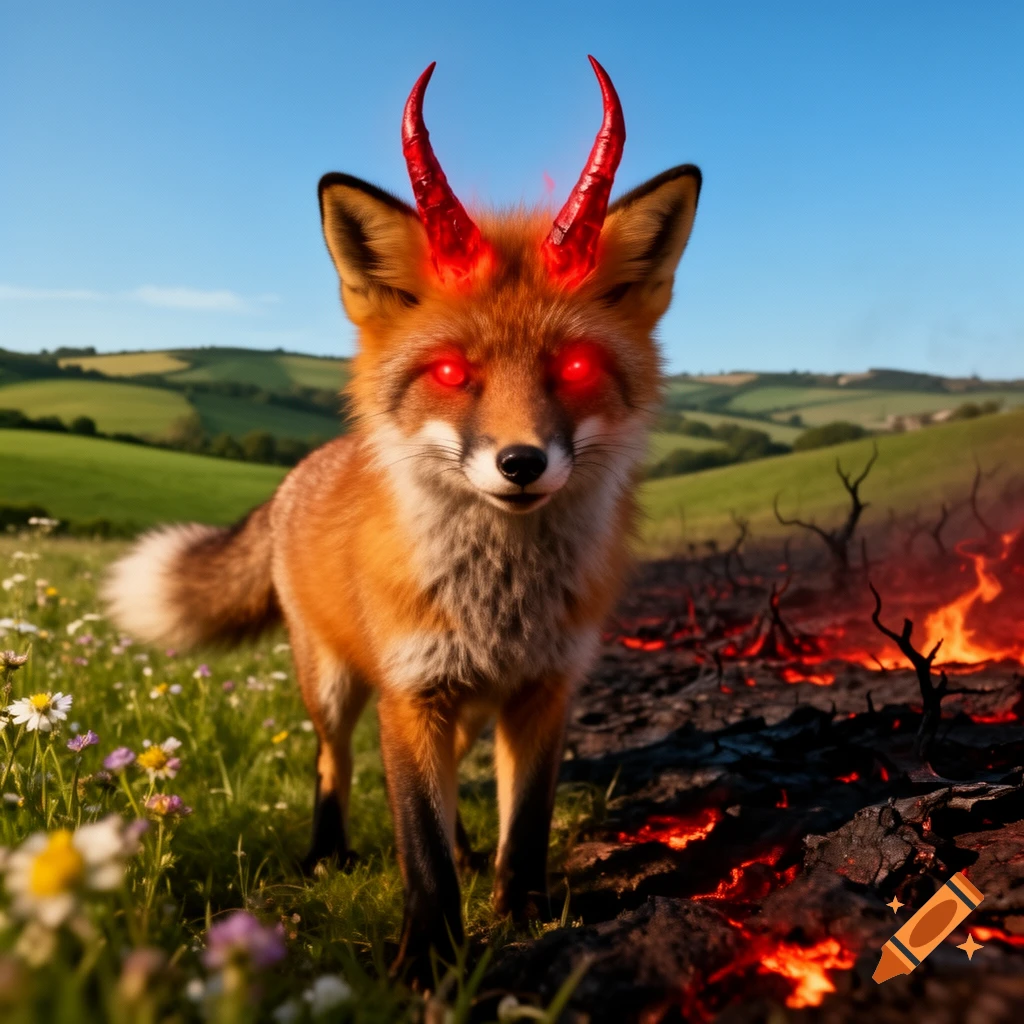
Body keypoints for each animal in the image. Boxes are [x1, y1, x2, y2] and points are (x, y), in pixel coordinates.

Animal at [103, 56, 700, 971]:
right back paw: (326, 854)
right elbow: (419, 844)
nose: (521, 463)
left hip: (447, 706)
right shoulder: (410, 692)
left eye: (572, 366)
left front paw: (523, 920)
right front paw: (427, 962)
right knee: (330, 766)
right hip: (333, 684)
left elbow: (524, 830)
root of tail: (304, 469)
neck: (500, 607)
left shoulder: (544, 691)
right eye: (453, 372)